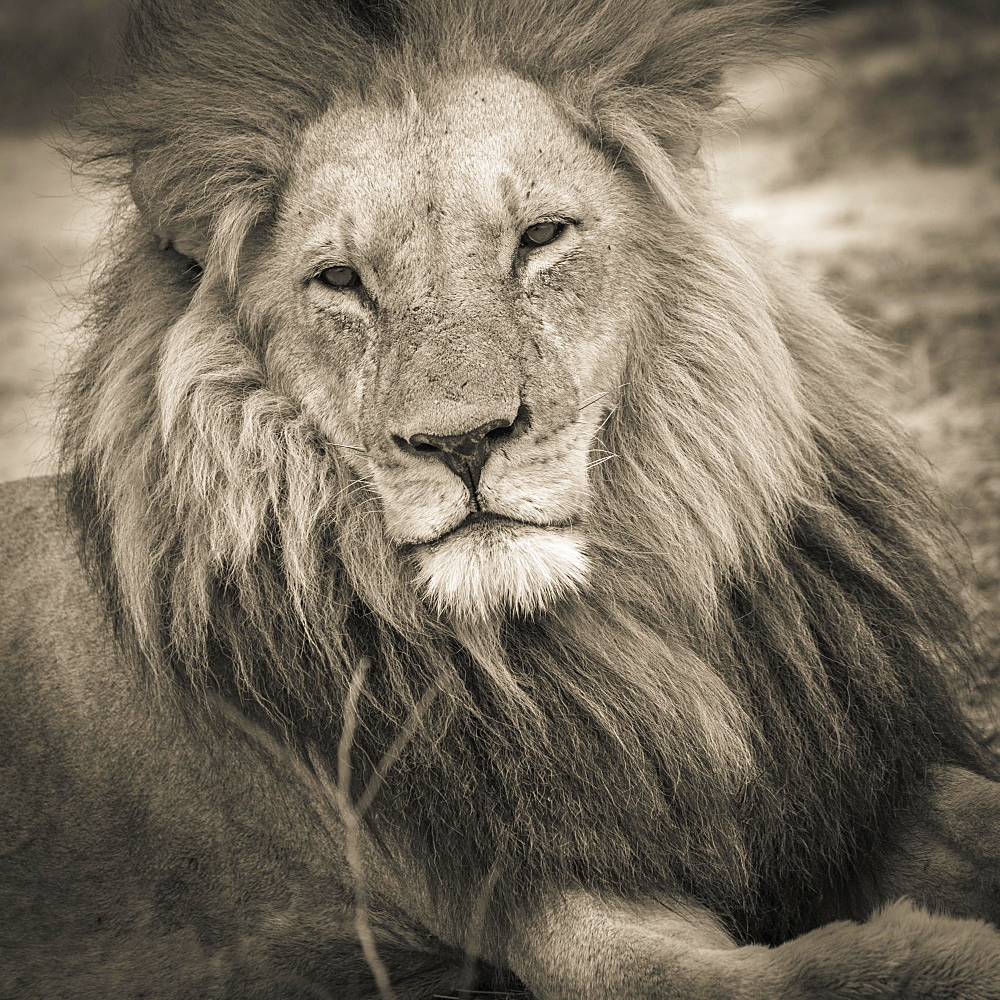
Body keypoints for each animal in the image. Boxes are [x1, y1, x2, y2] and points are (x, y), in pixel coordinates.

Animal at [1, 0, 1000, 996]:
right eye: (341, 280)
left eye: (541, 236)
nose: (462, 440)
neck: (632, 643)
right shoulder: (560, 906)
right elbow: (802, 974)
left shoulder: (847, 783)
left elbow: (971, 809)